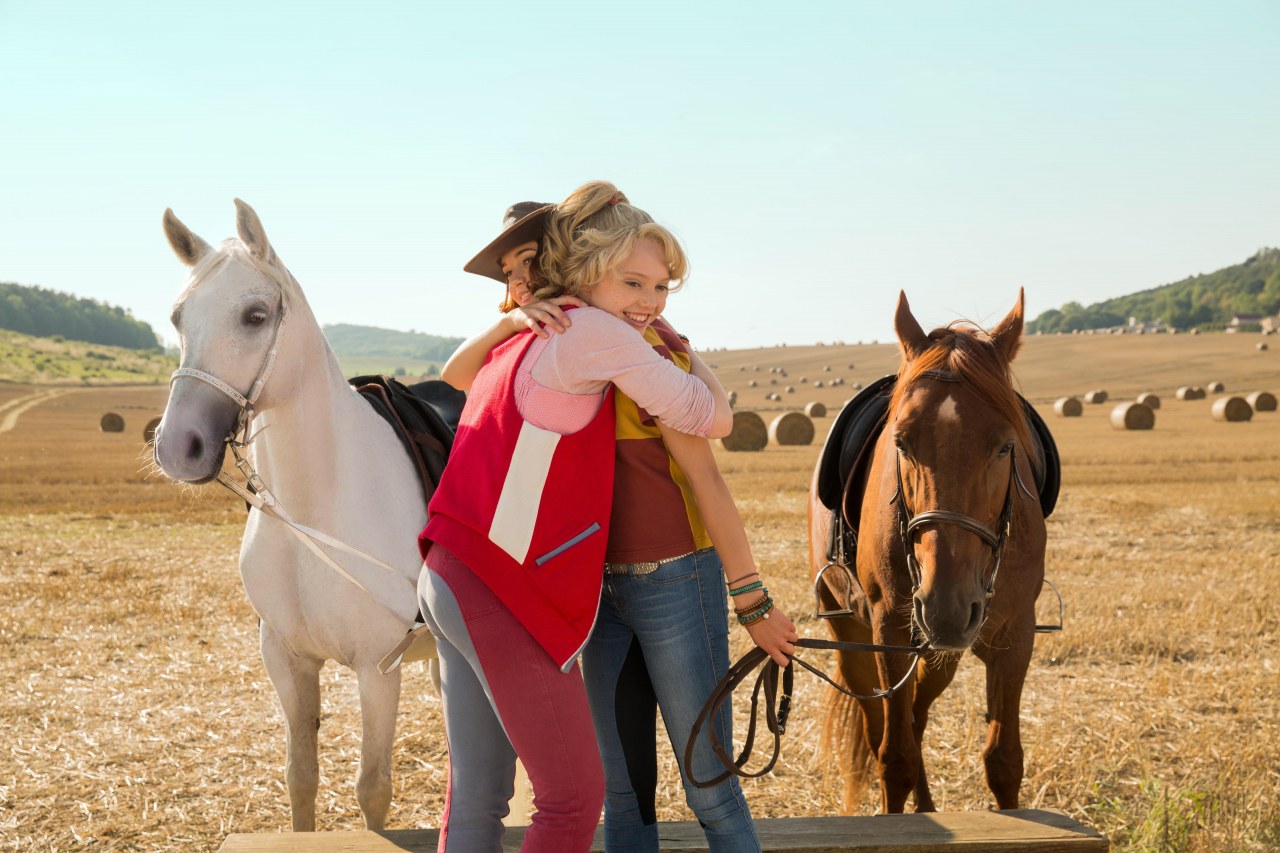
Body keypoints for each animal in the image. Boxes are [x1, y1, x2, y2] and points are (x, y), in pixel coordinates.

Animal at [151, 197, 435, 824]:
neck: (314, 511)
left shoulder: (378, 669)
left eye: (255, 315)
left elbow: (372, 787)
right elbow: (300, 777)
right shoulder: (286, 660)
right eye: (179, 319)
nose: (178, 445)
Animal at [808, 290, 1049, 809]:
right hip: (852, 636)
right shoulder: (889, 629)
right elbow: (893, 759)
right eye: (901, 442)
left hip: (944, 648)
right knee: (879, 724)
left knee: (917, 715)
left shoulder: (1016, 634)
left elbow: (1004, 762)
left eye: (1005, 446)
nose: (946, 606)